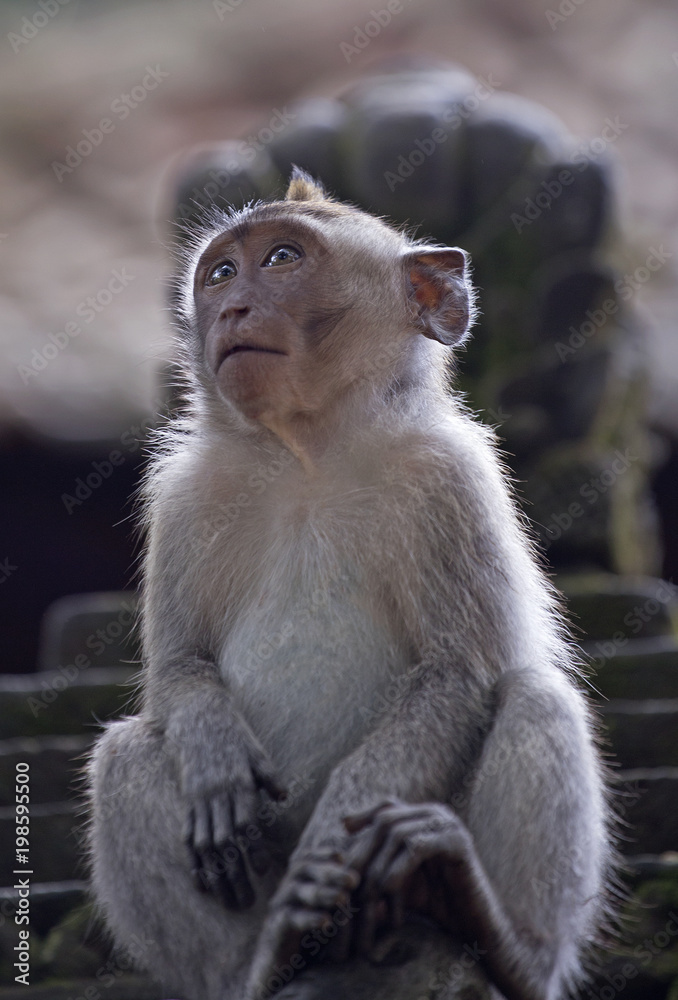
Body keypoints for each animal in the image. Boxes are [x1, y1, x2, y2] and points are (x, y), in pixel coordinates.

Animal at [86, 168, 612, 1000]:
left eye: (282, 259)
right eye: (222, 273)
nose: (232, 309)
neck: (311, 452)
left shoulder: (450, 478)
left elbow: (455, 675)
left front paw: (334, 842)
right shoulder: (186, 496)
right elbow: (178, 671)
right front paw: (211, 750)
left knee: (535, 699)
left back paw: (496, 934)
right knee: (127, 755)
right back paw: (265, 962)